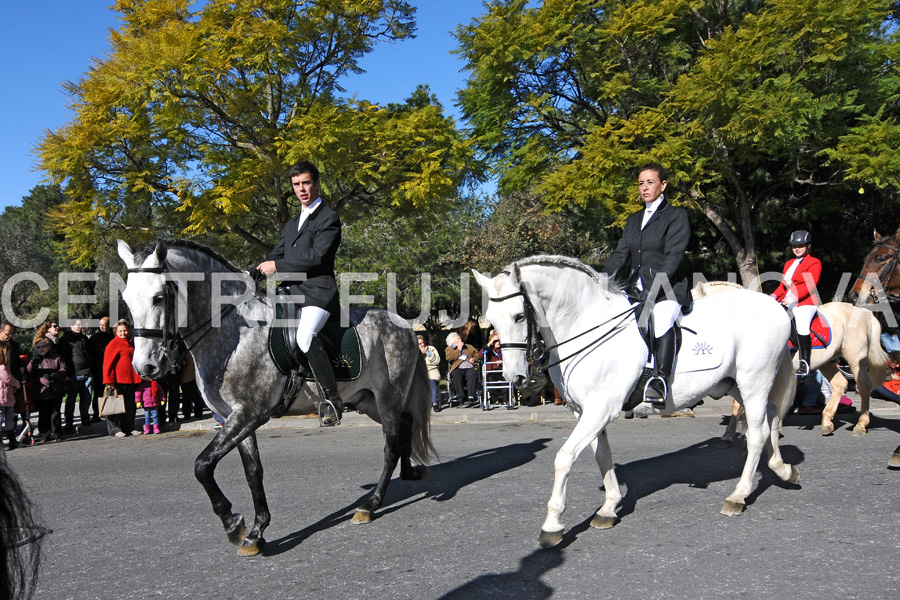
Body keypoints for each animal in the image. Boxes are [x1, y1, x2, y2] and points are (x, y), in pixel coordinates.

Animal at [117, 237, 436, 556]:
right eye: (127, 300)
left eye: (159, 297)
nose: (145, 367)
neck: (234, 332)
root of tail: (404, 324)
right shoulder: (234, 417)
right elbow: (252, 471)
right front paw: (256, 532)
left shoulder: (250, 413)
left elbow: (203, 466)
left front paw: (232, 523)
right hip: (368, 400)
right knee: (405, 424)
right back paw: (409, 472)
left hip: (388, 396)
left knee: (390, 445)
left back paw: (370, 505)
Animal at [474, 255, 800, 548]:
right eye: (492, 320)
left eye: (519, 316)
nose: (515, 377)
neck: (587, 326)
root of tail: (776, 307)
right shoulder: (585, 412)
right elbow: (602, 456)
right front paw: (609, 507)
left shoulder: (599, 410)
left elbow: (564, 458)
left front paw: (552, 524)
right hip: (735, 385)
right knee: (771, 416)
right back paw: (783, 469)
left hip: (754, 381)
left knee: (756, 434)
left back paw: (738, 495)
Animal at [692, 284, 888, 438]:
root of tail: (863, 312)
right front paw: (729, 434)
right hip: (828, 361)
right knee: (839, 384)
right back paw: (827, 422)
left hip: (855, 357)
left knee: (864, 386)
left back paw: (860, 425)